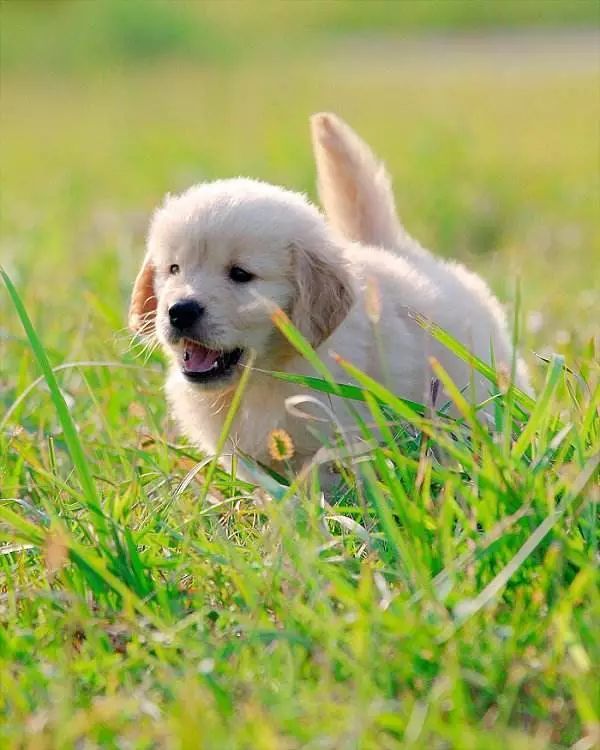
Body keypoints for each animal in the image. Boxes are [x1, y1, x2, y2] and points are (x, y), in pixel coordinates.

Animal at [129, 113, 528, 476]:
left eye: (241, 275)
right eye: (173, 270)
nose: (180, 310)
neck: (267, 375)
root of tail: (402, 251)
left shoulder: (341, 438)